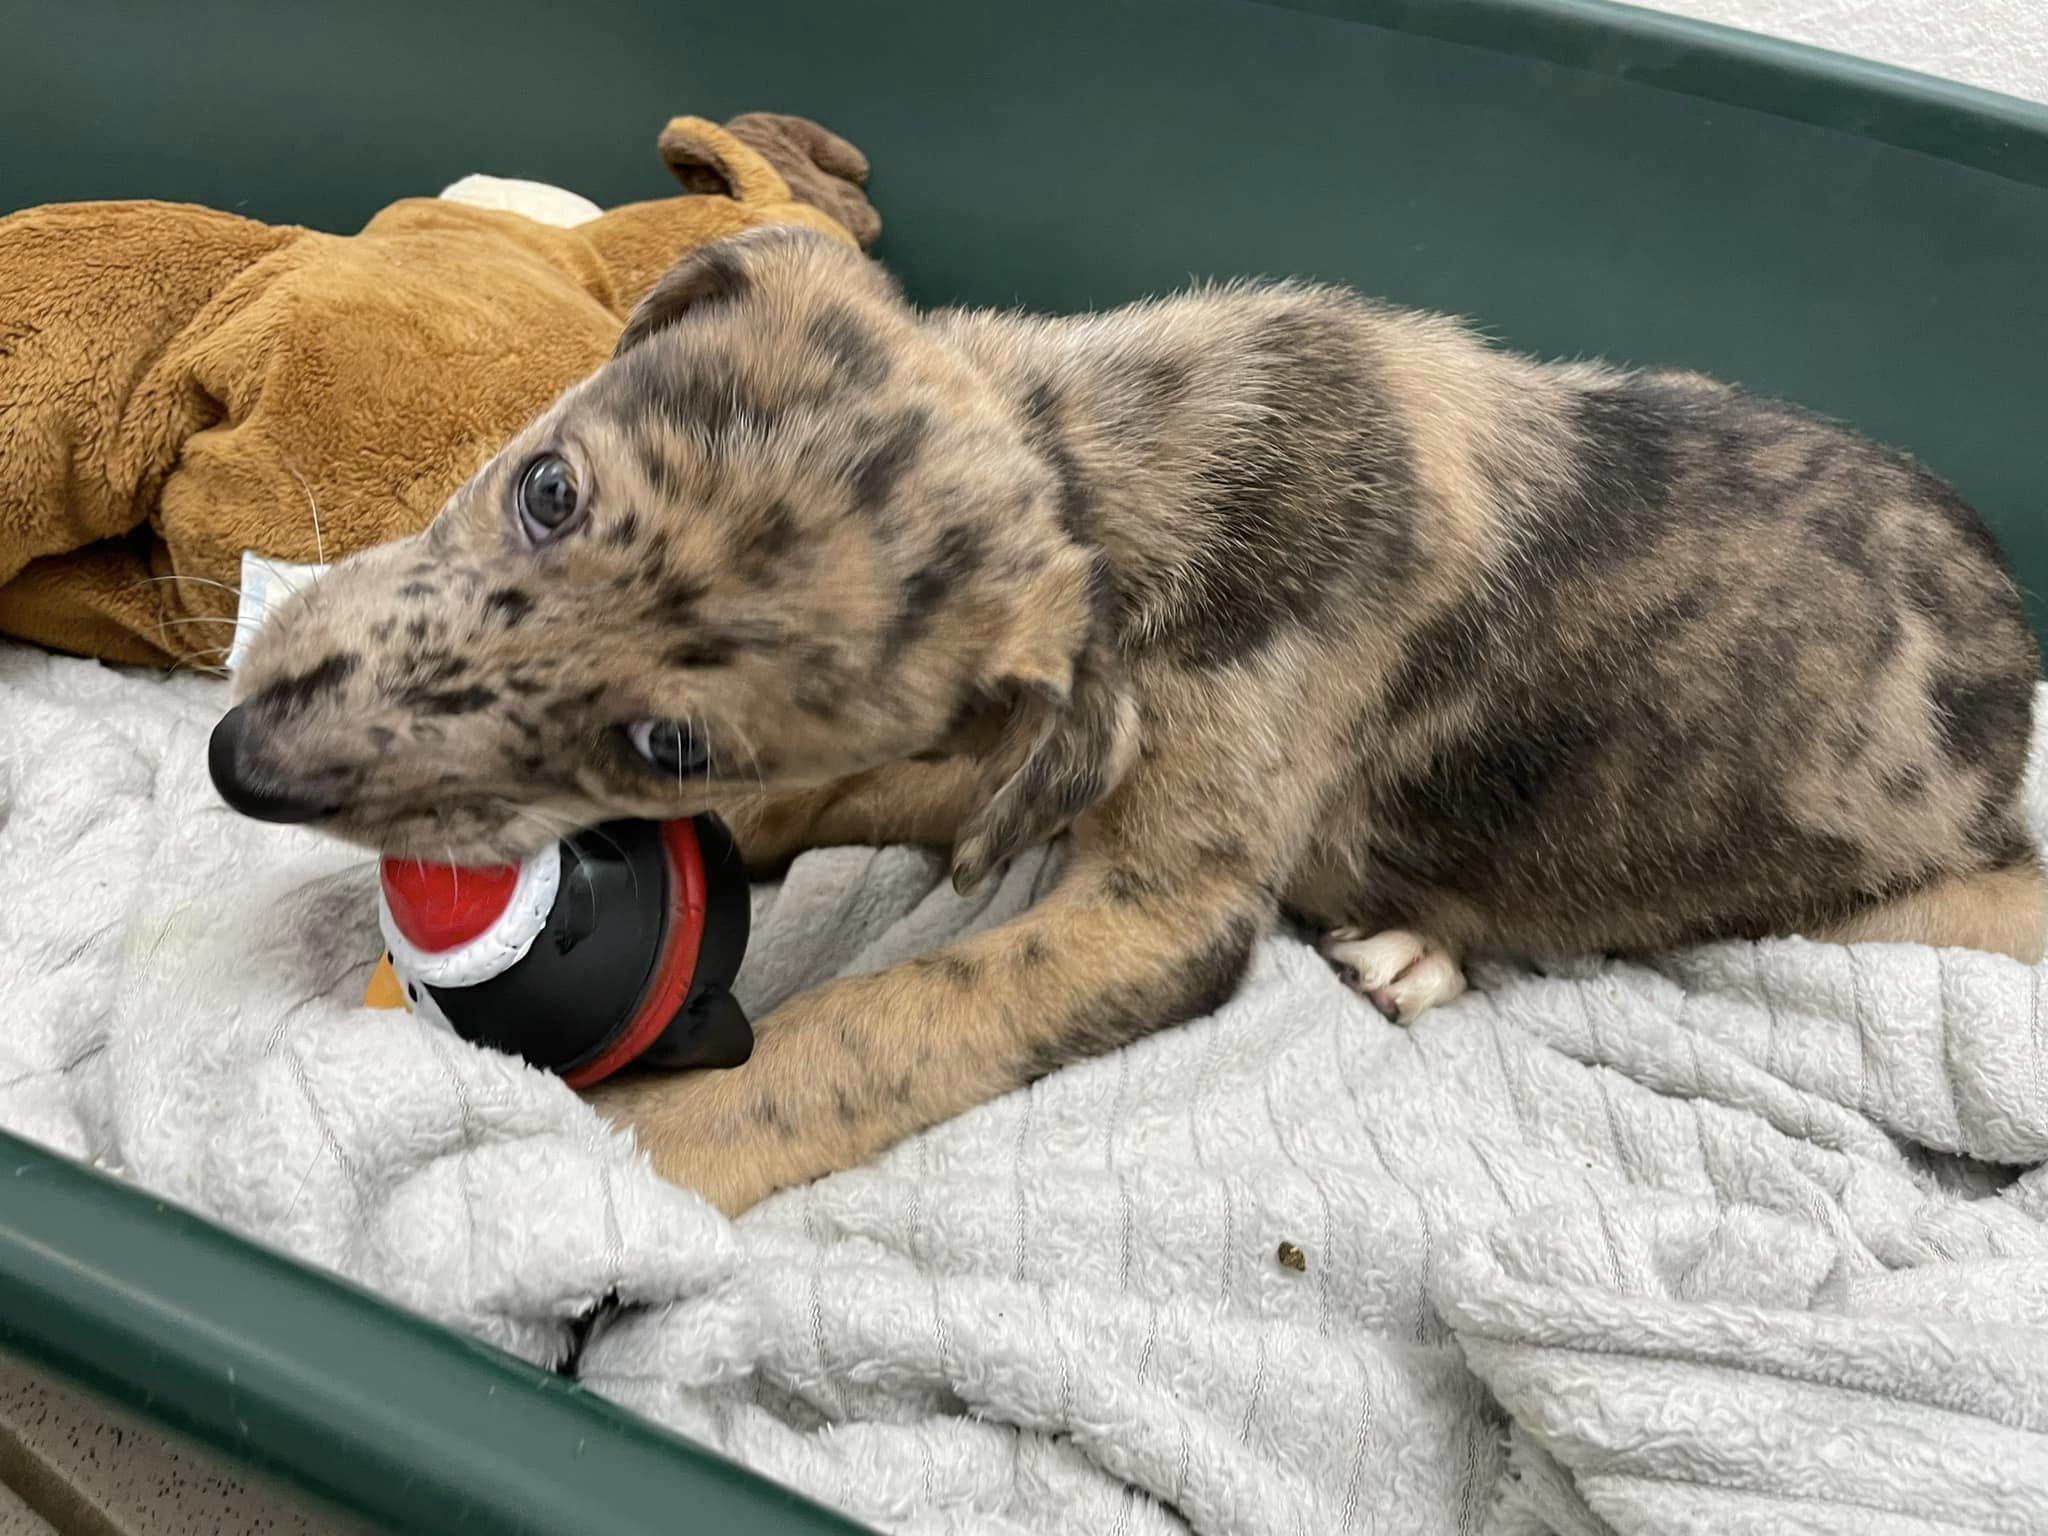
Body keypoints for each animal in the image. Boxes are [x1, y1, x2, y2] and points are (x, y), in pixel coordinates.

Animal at [216, 228, 2039, 1212]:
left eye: (676, 743)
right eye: (543, 488)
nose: (244, 765)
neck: (1110, 464)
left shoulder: (1162, 913)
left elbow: (866, 1032)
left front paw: (593, 1169)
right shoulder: (1009, 753)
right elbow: (879, 800)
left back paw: (1420, 946)